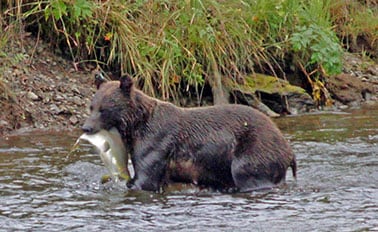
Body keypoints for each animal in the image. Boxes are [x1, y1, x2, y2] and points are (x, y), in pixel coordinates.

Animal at [82, 74, 296, 192]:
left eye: (104, 109)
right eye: (91, 106)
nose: (86, 127)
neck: (135, 126)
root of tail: (289, 150)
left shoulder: (156, 141)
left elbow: (146, 178)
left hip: (254, 147)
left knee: (246, 171)